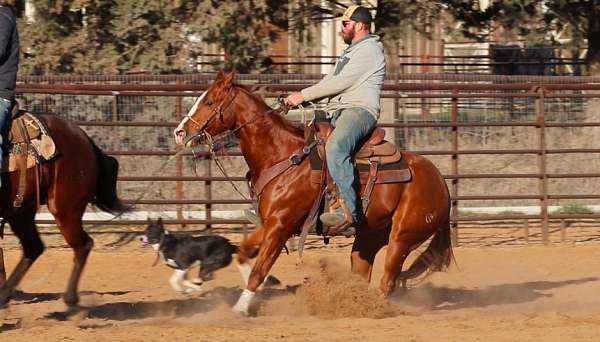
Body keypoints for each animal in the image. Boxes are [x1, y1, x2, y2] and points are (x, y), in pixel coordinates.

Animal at [0, 113, 126, 306]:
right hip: (21, 211)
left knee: (82, 245)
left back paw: (70, 299)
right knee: (33, 247)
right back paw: (4, 295)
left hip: (65, 210)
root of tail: (85, 139)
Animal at [176, 71, 452, 314]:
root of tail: (441, 182)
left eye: (209, 101)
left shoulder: (281, 226)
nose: (180, 132)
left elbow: (259, 270)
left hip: (401, 238)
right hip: (370, 237)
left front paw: (240, 310)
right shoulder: (269, 222)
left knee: (388, 282)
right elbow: (244, 253)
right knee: (363, 274)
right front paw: (265, 286)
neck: (283, 156)